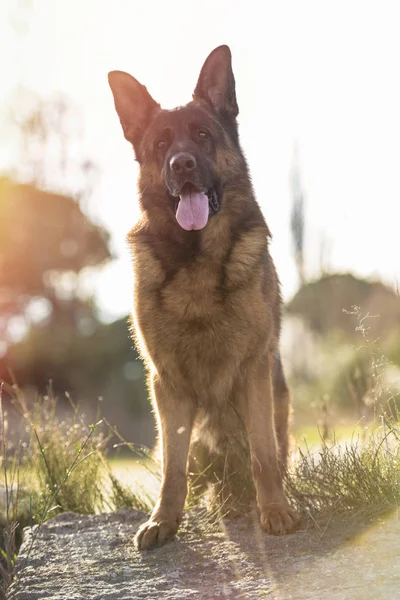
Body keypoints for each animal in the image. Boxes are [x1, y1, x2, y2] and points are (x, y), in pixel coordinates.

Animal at [108, 44, 298, 552]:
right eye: (160, 146)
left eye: (202, 135)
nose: (182, 164)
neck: (195, 259)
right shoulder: (167, 384)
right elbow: (173, 470)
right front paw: (164, 520)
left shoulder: (254, 370)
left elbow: (263, 454)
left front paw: (274, 510)